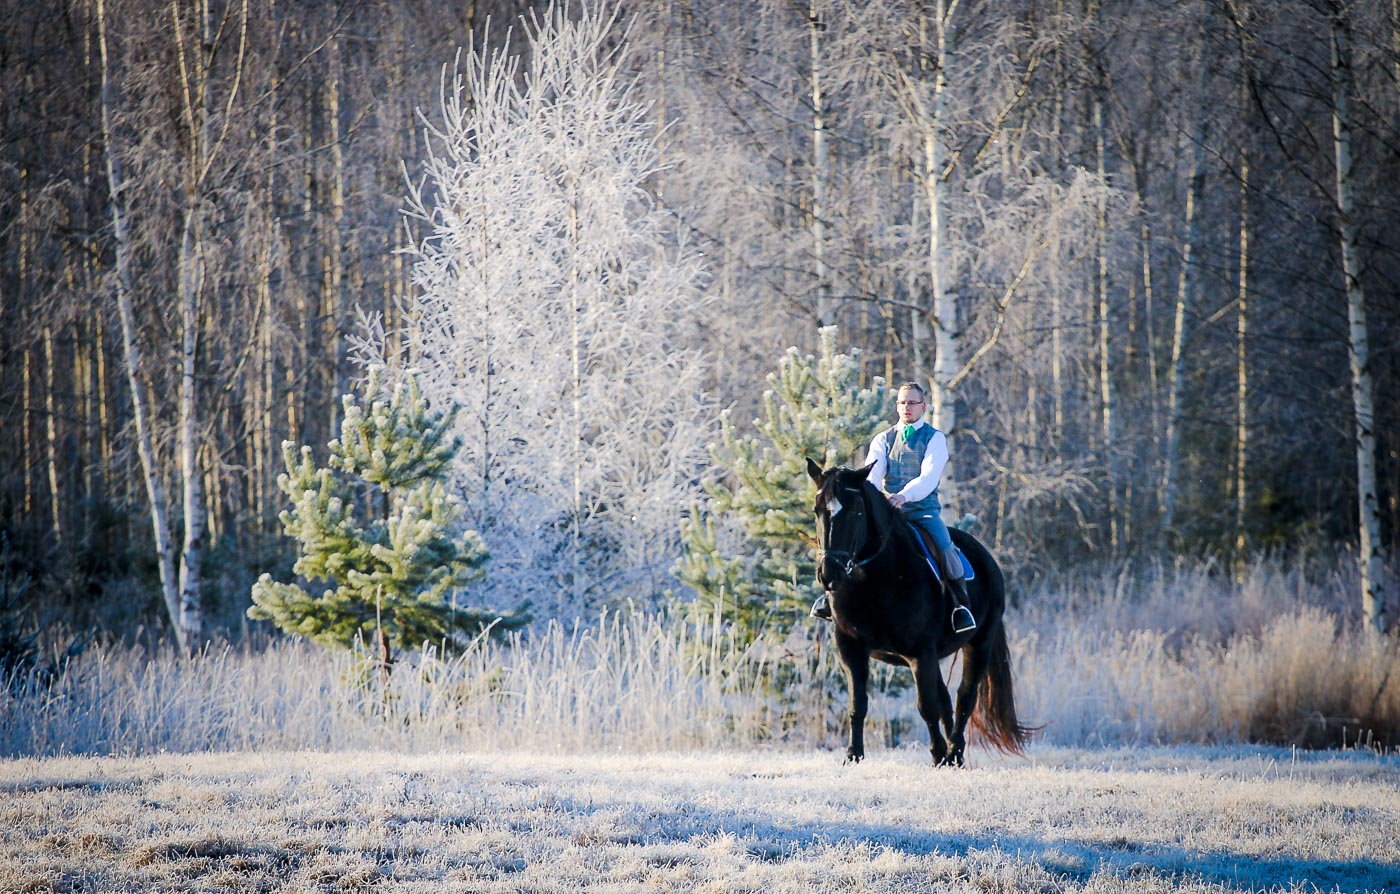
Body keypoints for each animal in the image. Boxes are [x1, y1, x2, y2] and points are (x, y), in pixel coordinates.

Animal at [812, 458, 1030, 766]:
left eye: (855, 511)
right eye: (817, 510)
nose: (828, 574)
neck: (873, 581)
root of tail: (987, 557)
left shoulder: (919, 653)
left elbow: (926, 706)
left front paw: (938, 754)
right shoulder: (850, 649)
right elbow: (858, 703)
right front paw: (854, 755)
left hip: (979, 643)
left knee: (964, 696)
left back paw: (953, 751)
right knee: (947, 700)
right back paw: (954, 757)